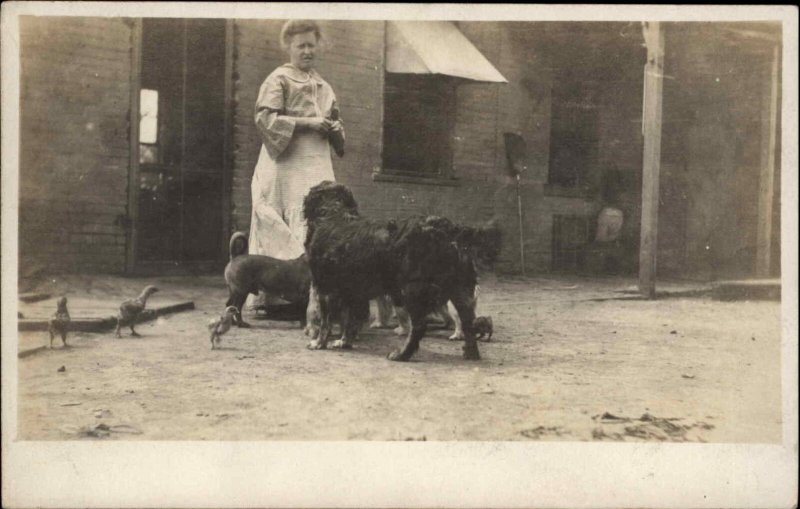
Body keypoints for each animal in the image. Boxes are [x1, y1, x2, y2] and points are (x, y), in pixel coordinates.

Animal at [304, 181, 500, 360]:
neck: (333, 215)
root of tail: (444, 229)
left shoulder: (325, 287)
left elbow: (326, 321)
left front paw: (319, 343)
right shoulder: (351, 291)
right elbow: (349, 319)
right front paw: (344, 342)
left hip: (412, 291)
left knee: (419, 326)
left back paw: (401, 354)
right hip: (459, 290)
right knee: (468, 322)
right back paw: (471, 353)